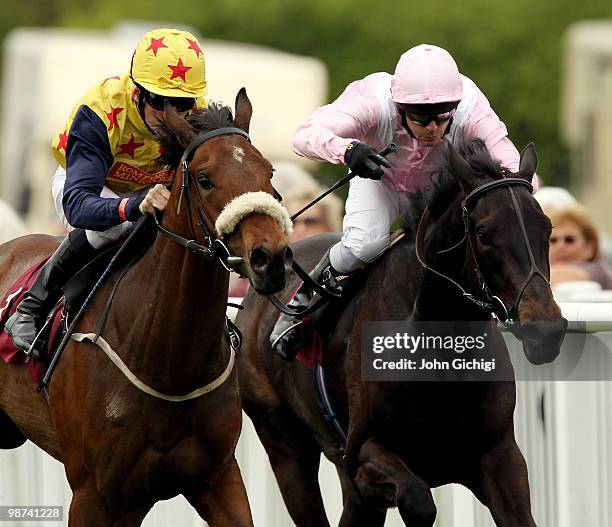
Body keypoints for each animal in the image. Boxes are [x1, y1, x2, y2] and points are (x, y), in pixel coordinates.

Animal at [0, 88, 290, 524]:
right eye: (204, 179)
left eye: (269, 173)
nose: (269, 258)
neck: (168, 363)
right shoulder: (91, 493)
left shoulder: (217, 477)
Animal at [237, 140, 568, 527]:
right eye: (484, 235)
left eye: (546, 228)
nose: (544, 329)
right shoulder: (364, 457)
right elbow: (419, 502)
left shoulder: (500, 456)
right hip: (284, 443)